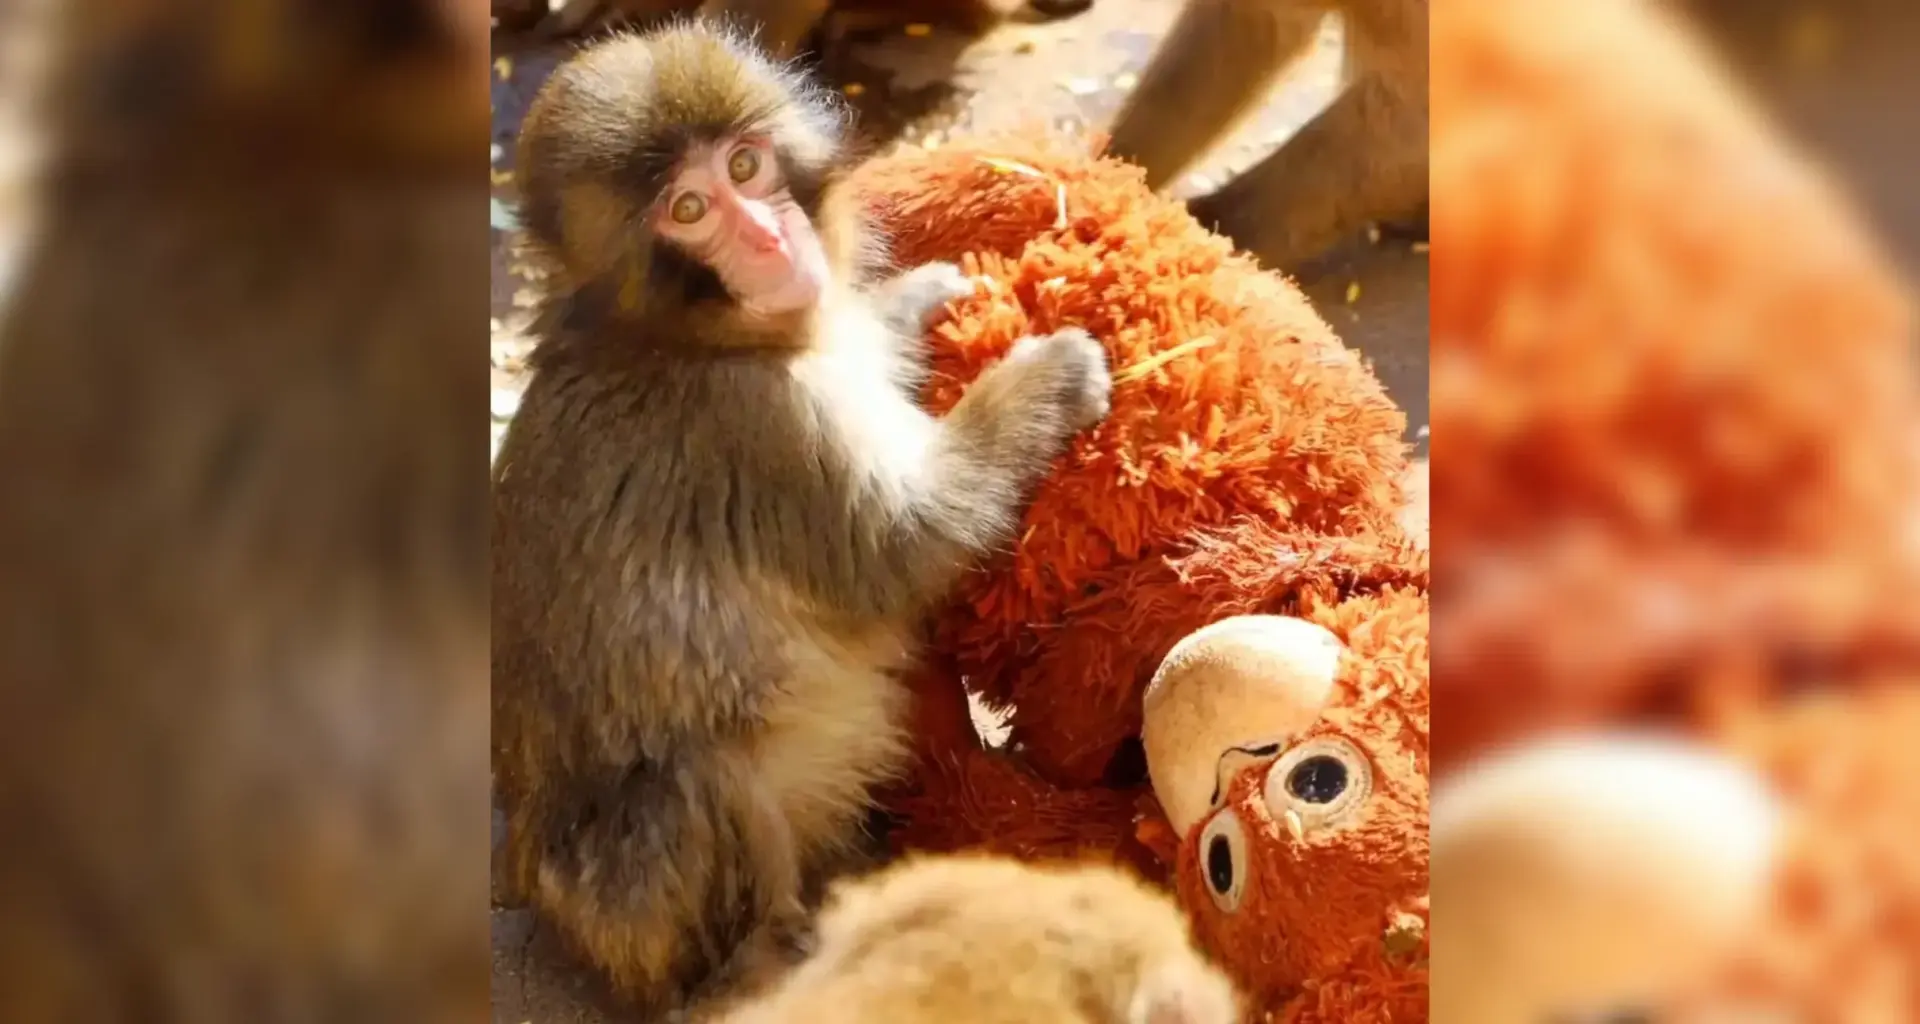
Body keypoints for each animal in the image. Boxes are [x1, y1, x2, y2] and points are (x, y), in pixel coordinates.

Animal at [490, 21, 1114, 1018]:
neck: (690, 337)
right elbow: (905, 546)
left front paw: (913, 299)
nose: (766, 236)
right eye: (690, 209)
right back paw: (764, 961)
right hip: (628, 912)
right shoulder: (761, 427)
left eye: (746, 165)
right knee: (692, 781)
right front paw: (1046, 379)